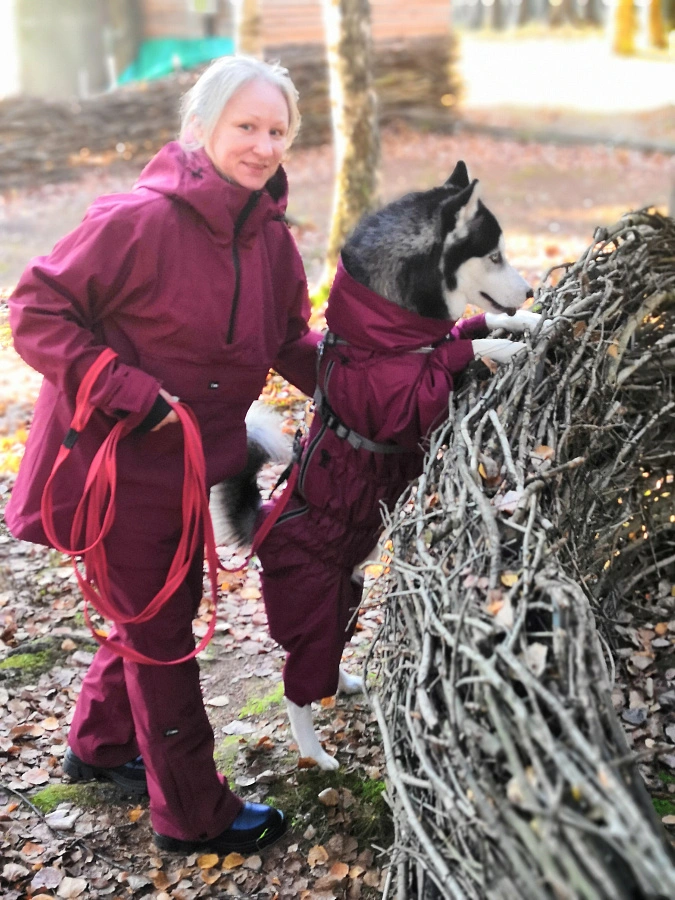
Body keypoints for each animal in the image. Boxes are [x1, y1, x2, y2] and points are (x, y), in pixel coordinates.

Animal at [214, 162, 548, 768]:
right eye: (493, 255)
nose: (531, 288)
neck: (388, 333)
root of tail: (265, 522)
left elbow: (473, 324)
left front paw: (527, 322)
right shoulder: (403, 404)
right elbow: (460, 352)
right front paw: (502, 348)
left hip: (346, 597)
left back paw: (343, 681)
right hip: (313, 605)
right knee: (294, 684)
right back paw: (315, 752)